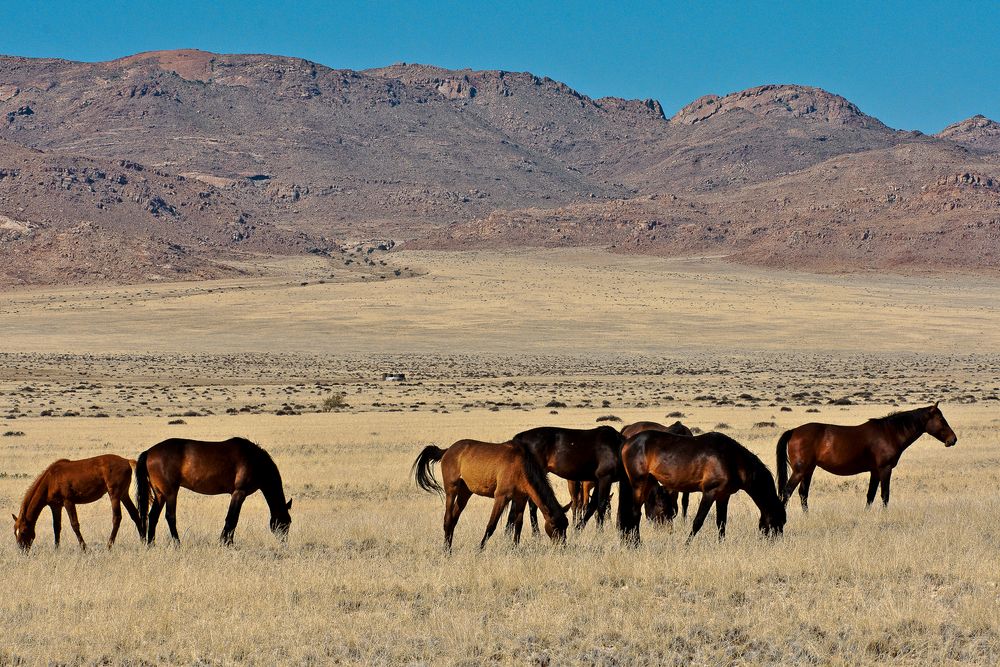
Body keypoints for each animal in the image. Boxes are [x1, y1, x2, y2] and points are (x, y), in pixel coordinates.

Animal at [12, 454, 143, 552]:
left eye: (23, 531)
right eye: (15, 532)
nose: (22, 550)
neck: (51, 479)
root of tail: (126, 461)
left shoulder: (68, 502)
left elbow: (74, 524)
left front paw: (84, 548)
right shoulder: (56, 506)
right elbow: (56, 527)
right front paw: (56, 549)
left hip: (114, 496)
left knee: (117, 518)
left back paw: (109, 546)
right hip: (123, 495)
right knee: (135, 515)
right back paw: (144, 541)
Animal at [133, 436, 292, 544]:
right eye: (287, 522)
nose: (284, 543)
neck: (255, 461)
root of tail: (149, 452)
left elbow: (232, 519)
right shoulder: (239, 493)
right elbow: (232, 518)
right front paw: (226, 543)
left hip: (160, 494)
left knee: (153, 516)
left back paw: (151, 544)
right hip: (171, 492)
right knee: (170, 517)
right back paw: (177, 544)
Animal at [412, 440, 572, 552]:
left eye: (566, 526)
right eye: (554, 526)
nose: (563, 547)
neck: (520, 466)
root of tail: (447, 450)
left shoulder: (520, 498)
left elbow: (518, 525)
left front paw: (514, 549)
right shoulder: (501, 498)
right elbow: (491, 525)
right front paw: (480, 549)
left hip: (465, 492)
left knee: (454, 519)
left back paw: (449, 547)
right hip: (452, 490)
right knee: (447, 518)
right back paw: (446, 550)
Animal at [620, 430, 784, 544]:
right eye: (779, 521)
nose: (776, 542)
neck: (732, 459)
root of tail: (627, 443)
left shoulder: (723, 495)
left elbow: (721, 522)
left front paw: (721, 545)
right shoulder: (710, 492)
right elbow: (698, 521)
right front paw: (686, 545)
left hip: (648, 482)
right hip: (640, 483)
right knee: (635, 513)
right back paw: (636, 544)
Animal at [776, 402, 956, 512]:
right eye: (941, 419)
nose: (953, 440)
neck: (889, 433)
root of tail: (794, 431)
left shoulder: (875, 471)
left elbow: (871, 495)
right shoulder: (885, 469)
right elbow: (885, 495)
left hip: (809, 470)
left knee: (803, 493)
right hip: (800, 471)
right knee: (787, 492)